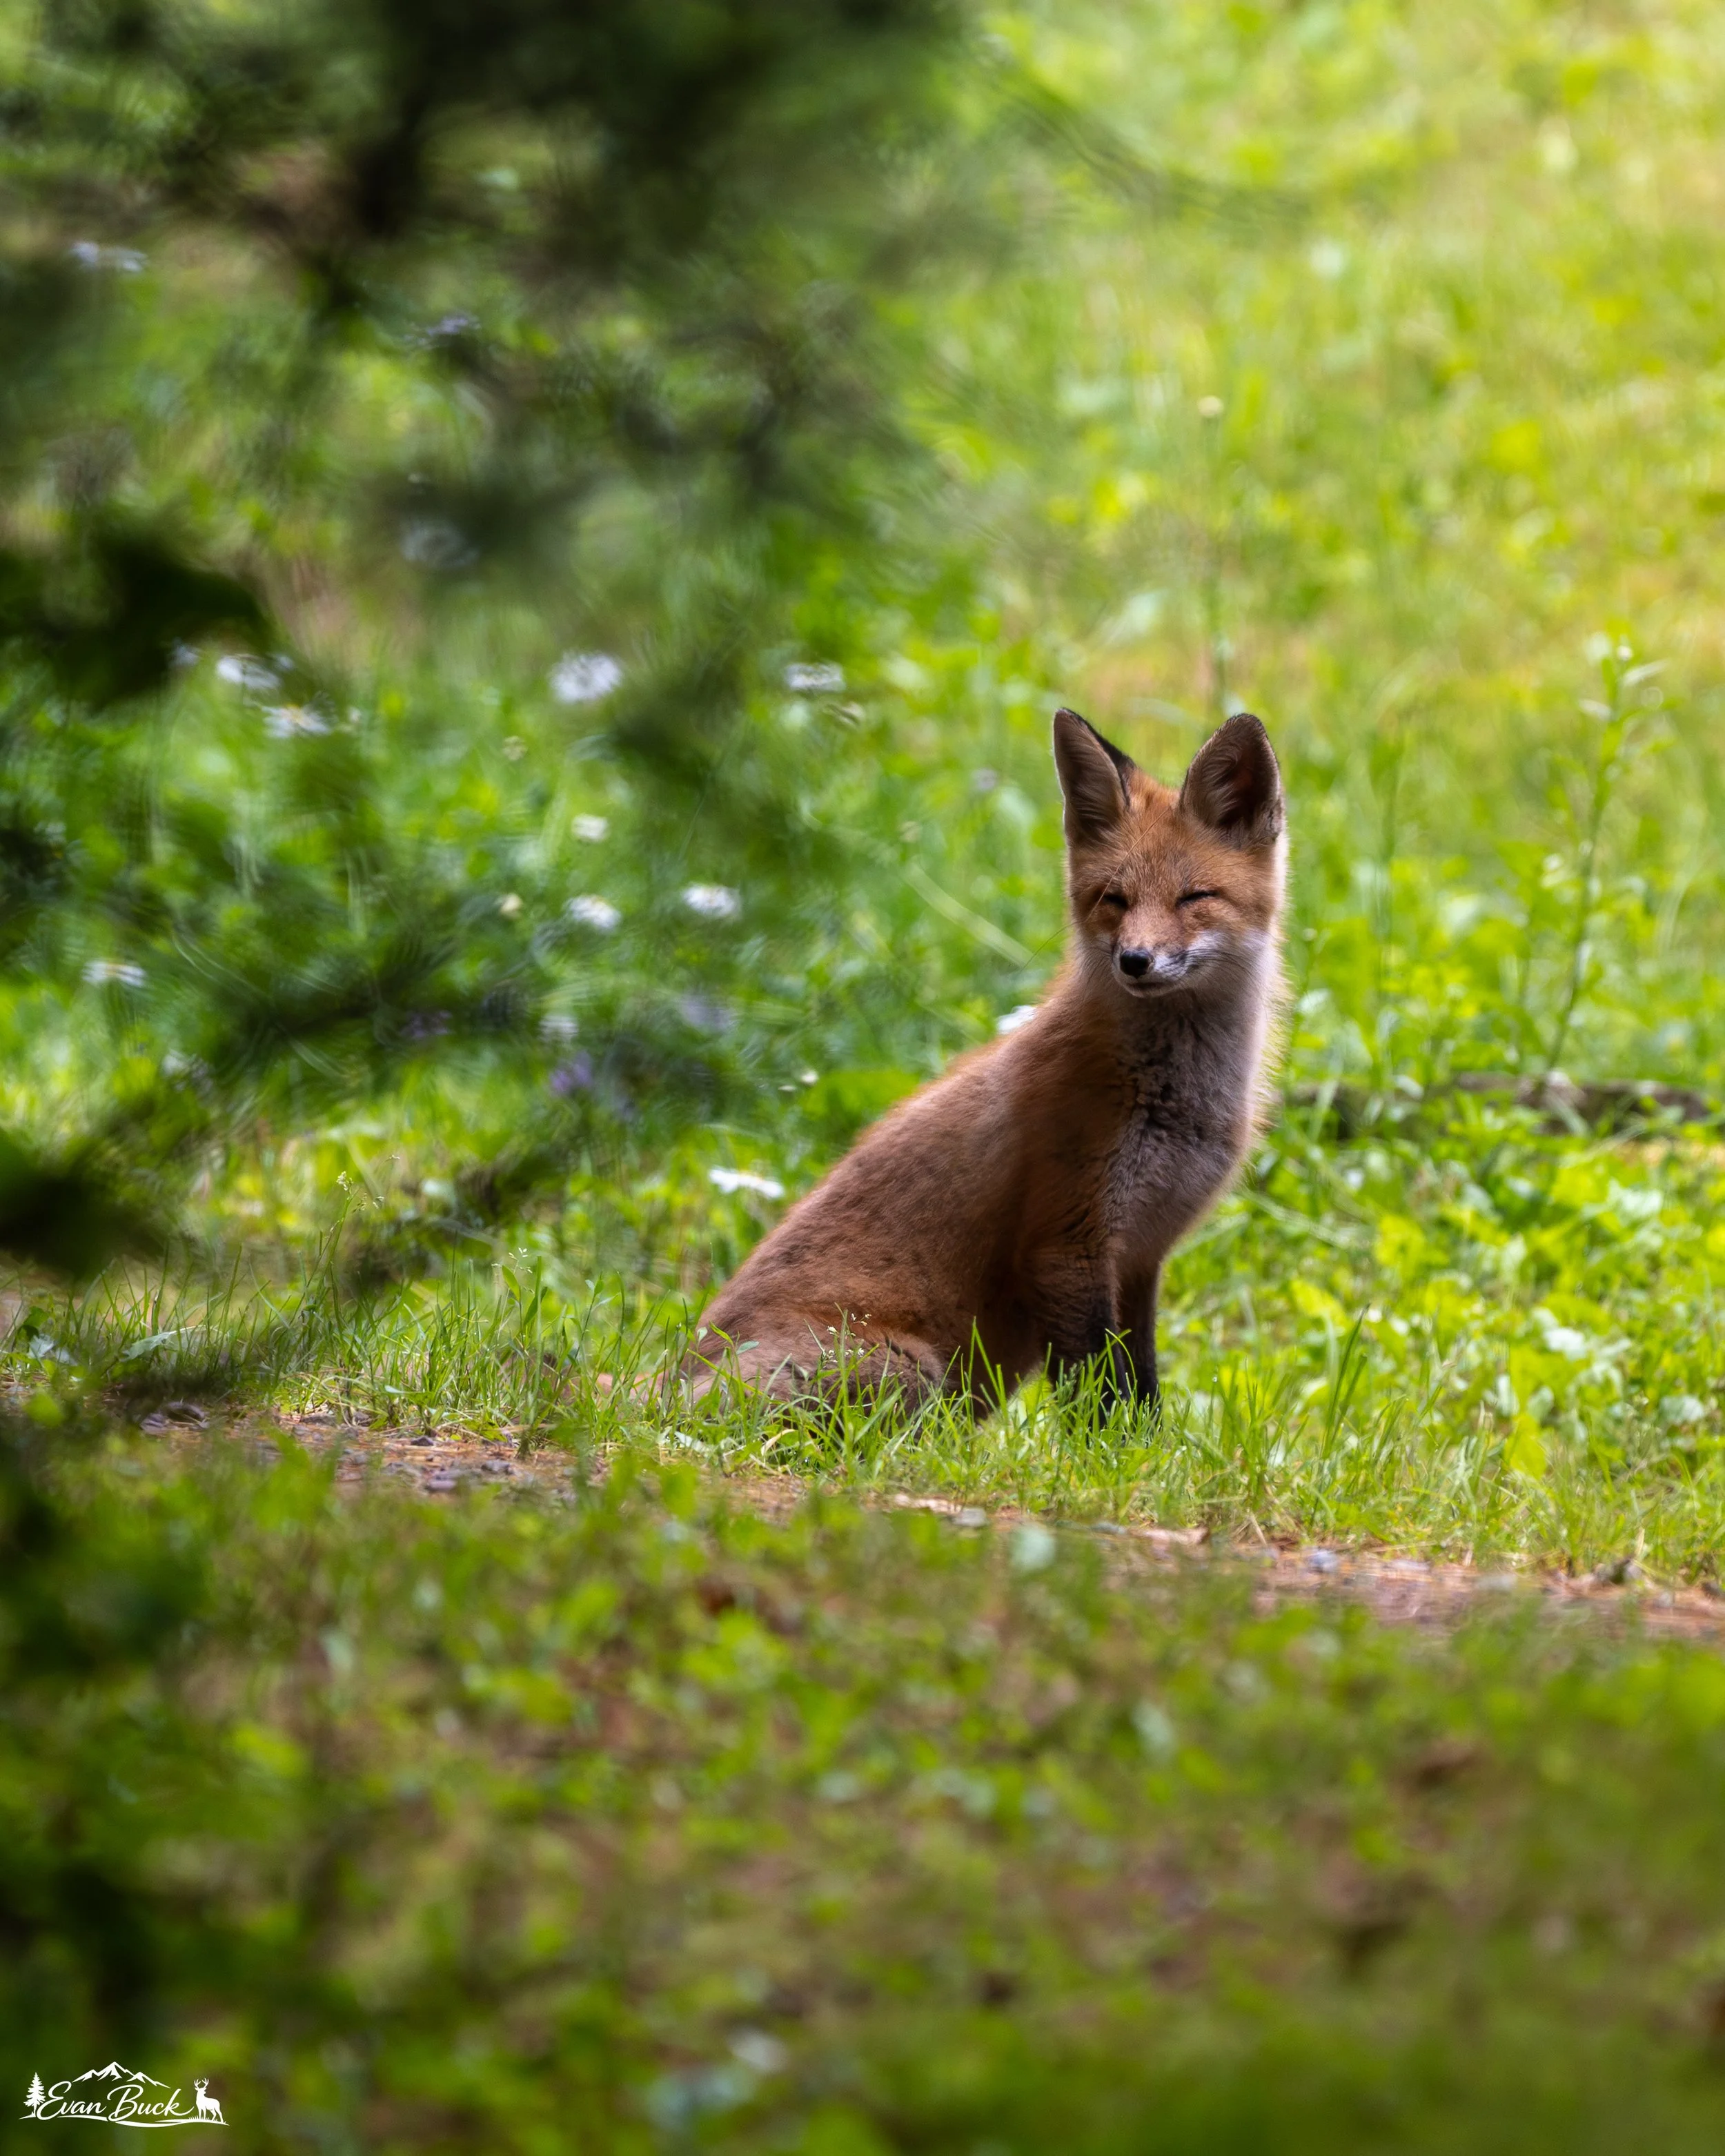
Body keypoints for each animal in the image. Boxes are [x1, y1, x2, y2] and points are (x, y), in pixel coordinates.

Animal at [683, 706, 1286, 1413]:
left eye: (1194, 897)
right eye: (1114, 899)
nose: (1134, 960)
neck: (1174, 1102)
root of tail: (665, 1377)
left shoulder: (1140, 1256)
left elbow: (1142, 1388)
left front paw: (1151, 1440)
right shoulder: (1065, 1244)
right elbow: (1097, 1396)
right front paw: (1105, 1441)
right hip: (910, 1371)